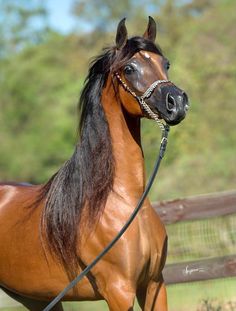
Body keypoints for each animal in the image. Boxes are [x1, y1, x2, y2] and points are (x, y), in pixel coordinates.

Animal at [0, 17, 189, 311]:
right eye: (129, 68)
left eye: (165, 63)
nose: (177, 102)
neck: (122, 201)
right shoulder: (119, 291)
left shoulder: (154, 284)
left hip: (34, 298)